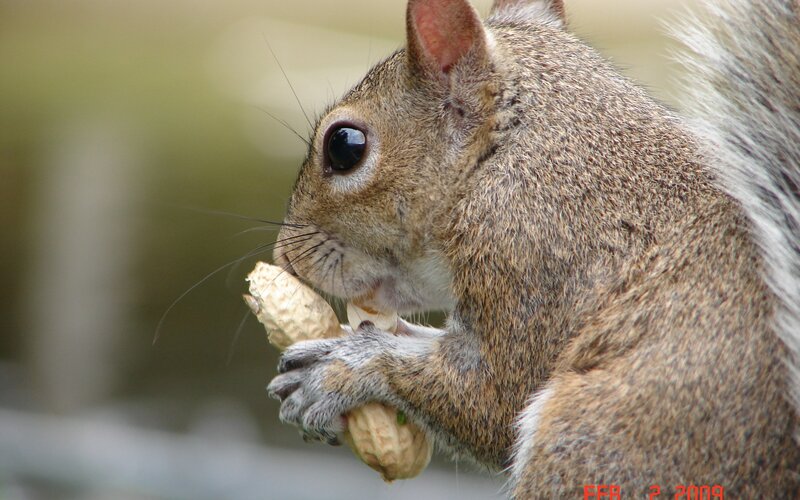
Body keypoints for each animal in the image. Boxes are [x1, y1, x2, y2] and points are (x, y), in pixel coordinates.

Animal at [266, 0, 800, 496]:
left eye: (344, 145)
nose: (284, 255)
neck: (518, 157)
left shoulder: (534, 259)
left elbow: (493, 402)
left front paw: (336, 369)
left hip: (587, 446)